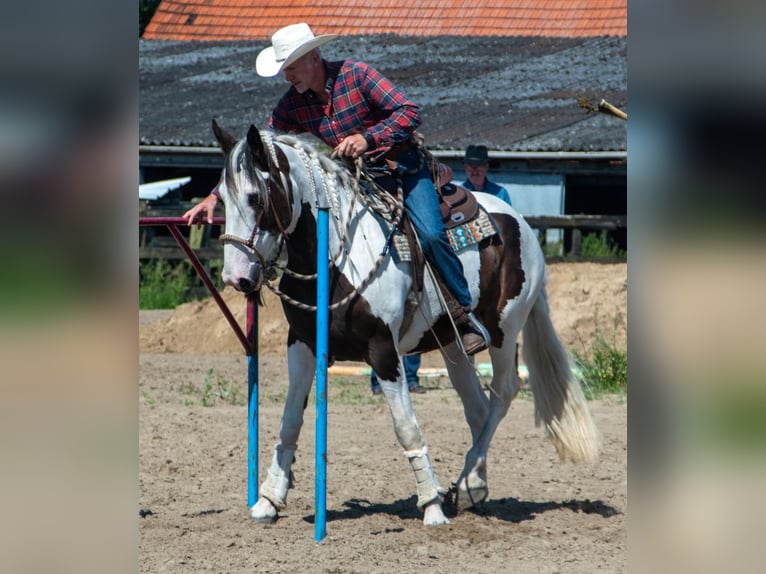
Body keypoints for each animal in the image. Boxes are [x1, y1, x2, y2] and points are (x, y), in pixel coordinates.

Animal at [209, 120, 601, 526]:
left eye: (255, 197)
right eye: (221, 198)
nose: (235, 277)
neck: (337, 253)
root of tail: (521, 223)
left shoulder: (384, 351)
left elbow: (406, 428)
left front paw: (431, 506)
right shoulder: (301, 344)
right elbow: (289, 421)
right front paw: (268, 499)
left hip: (505, 331)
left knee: (503, 393)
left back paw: (468, 484)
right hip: (454, 345)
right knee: (477, 407)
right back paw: (473, 484)